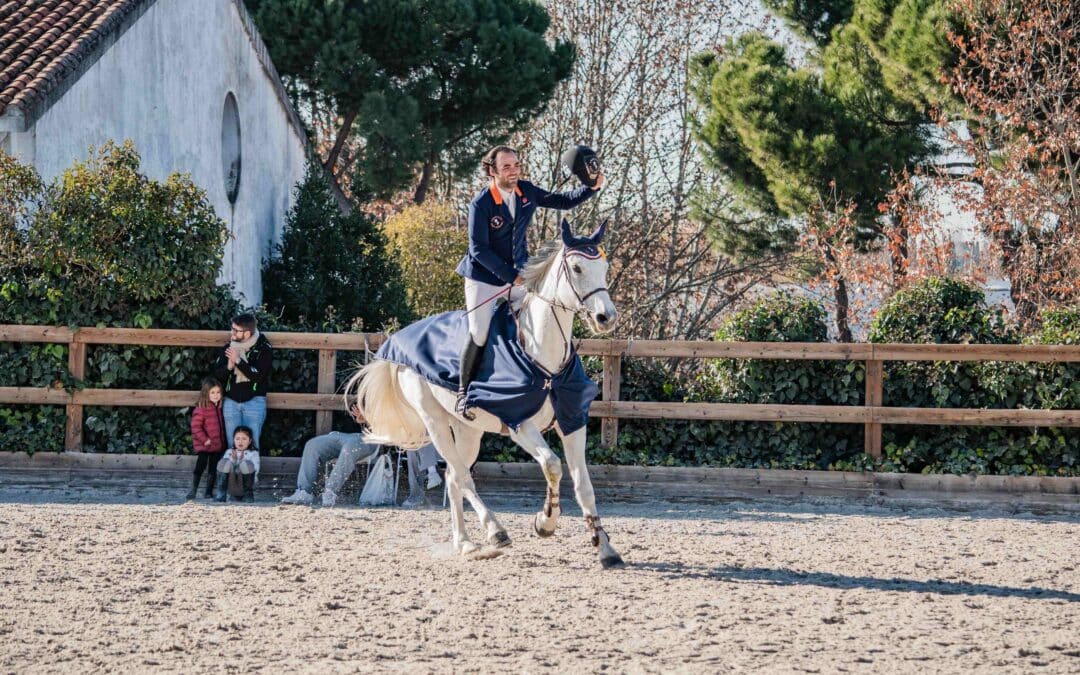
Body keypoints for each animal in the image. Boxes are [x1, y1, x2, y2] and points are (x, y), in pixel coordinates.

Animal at [345, 221, 626, 570]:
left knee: (454, 476)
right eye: (576, 268)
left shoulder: (572, 420)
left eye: (604, 267)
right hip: (434, 422)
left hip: (469, 430)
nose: (606, 318)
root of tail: (398, 338)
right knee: (464, 477)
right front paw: (545, 522)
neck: (542, 357)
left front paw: (606, 548)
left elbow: (584, 485)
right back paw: (495, 531)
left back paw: (464, 543)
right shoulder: (519, 423)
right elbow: (552, 465)